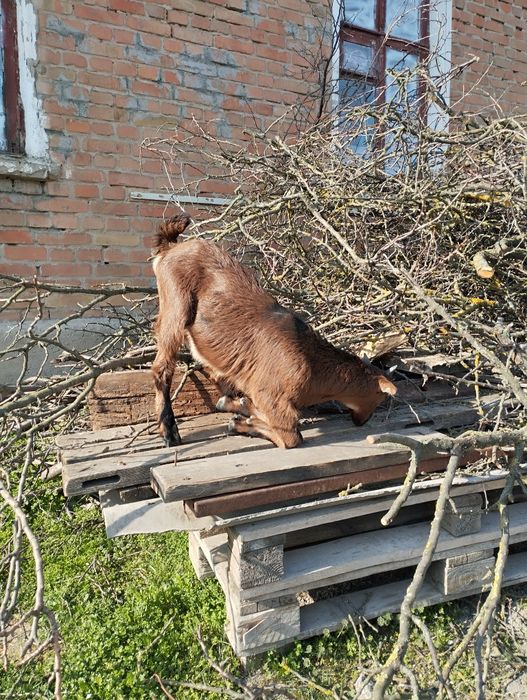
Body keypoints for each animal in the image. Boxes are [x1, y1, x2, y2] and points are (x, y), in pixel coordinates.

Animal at [151, 214, 397, 449]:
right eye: (379, 398)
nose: (363, 421)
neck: (312, 363)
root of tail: (171, 247)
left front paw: (239, 406)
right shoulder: (271, 396)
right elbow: (291, 438)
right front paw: (241, 422)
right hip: (175, 307)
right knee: (162, 368)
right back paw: (169, 432)